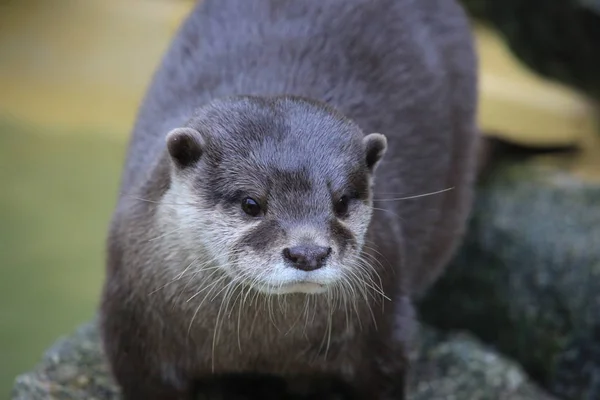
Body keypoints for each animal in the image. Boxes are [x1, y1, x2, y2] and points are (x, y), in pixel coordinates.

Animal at [101, 0, 480, 400]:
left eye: (341, 201)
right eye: (251, 204)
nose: (307, 253)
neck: (261, 346)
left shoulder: (385, 328)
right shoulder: (133, 332)